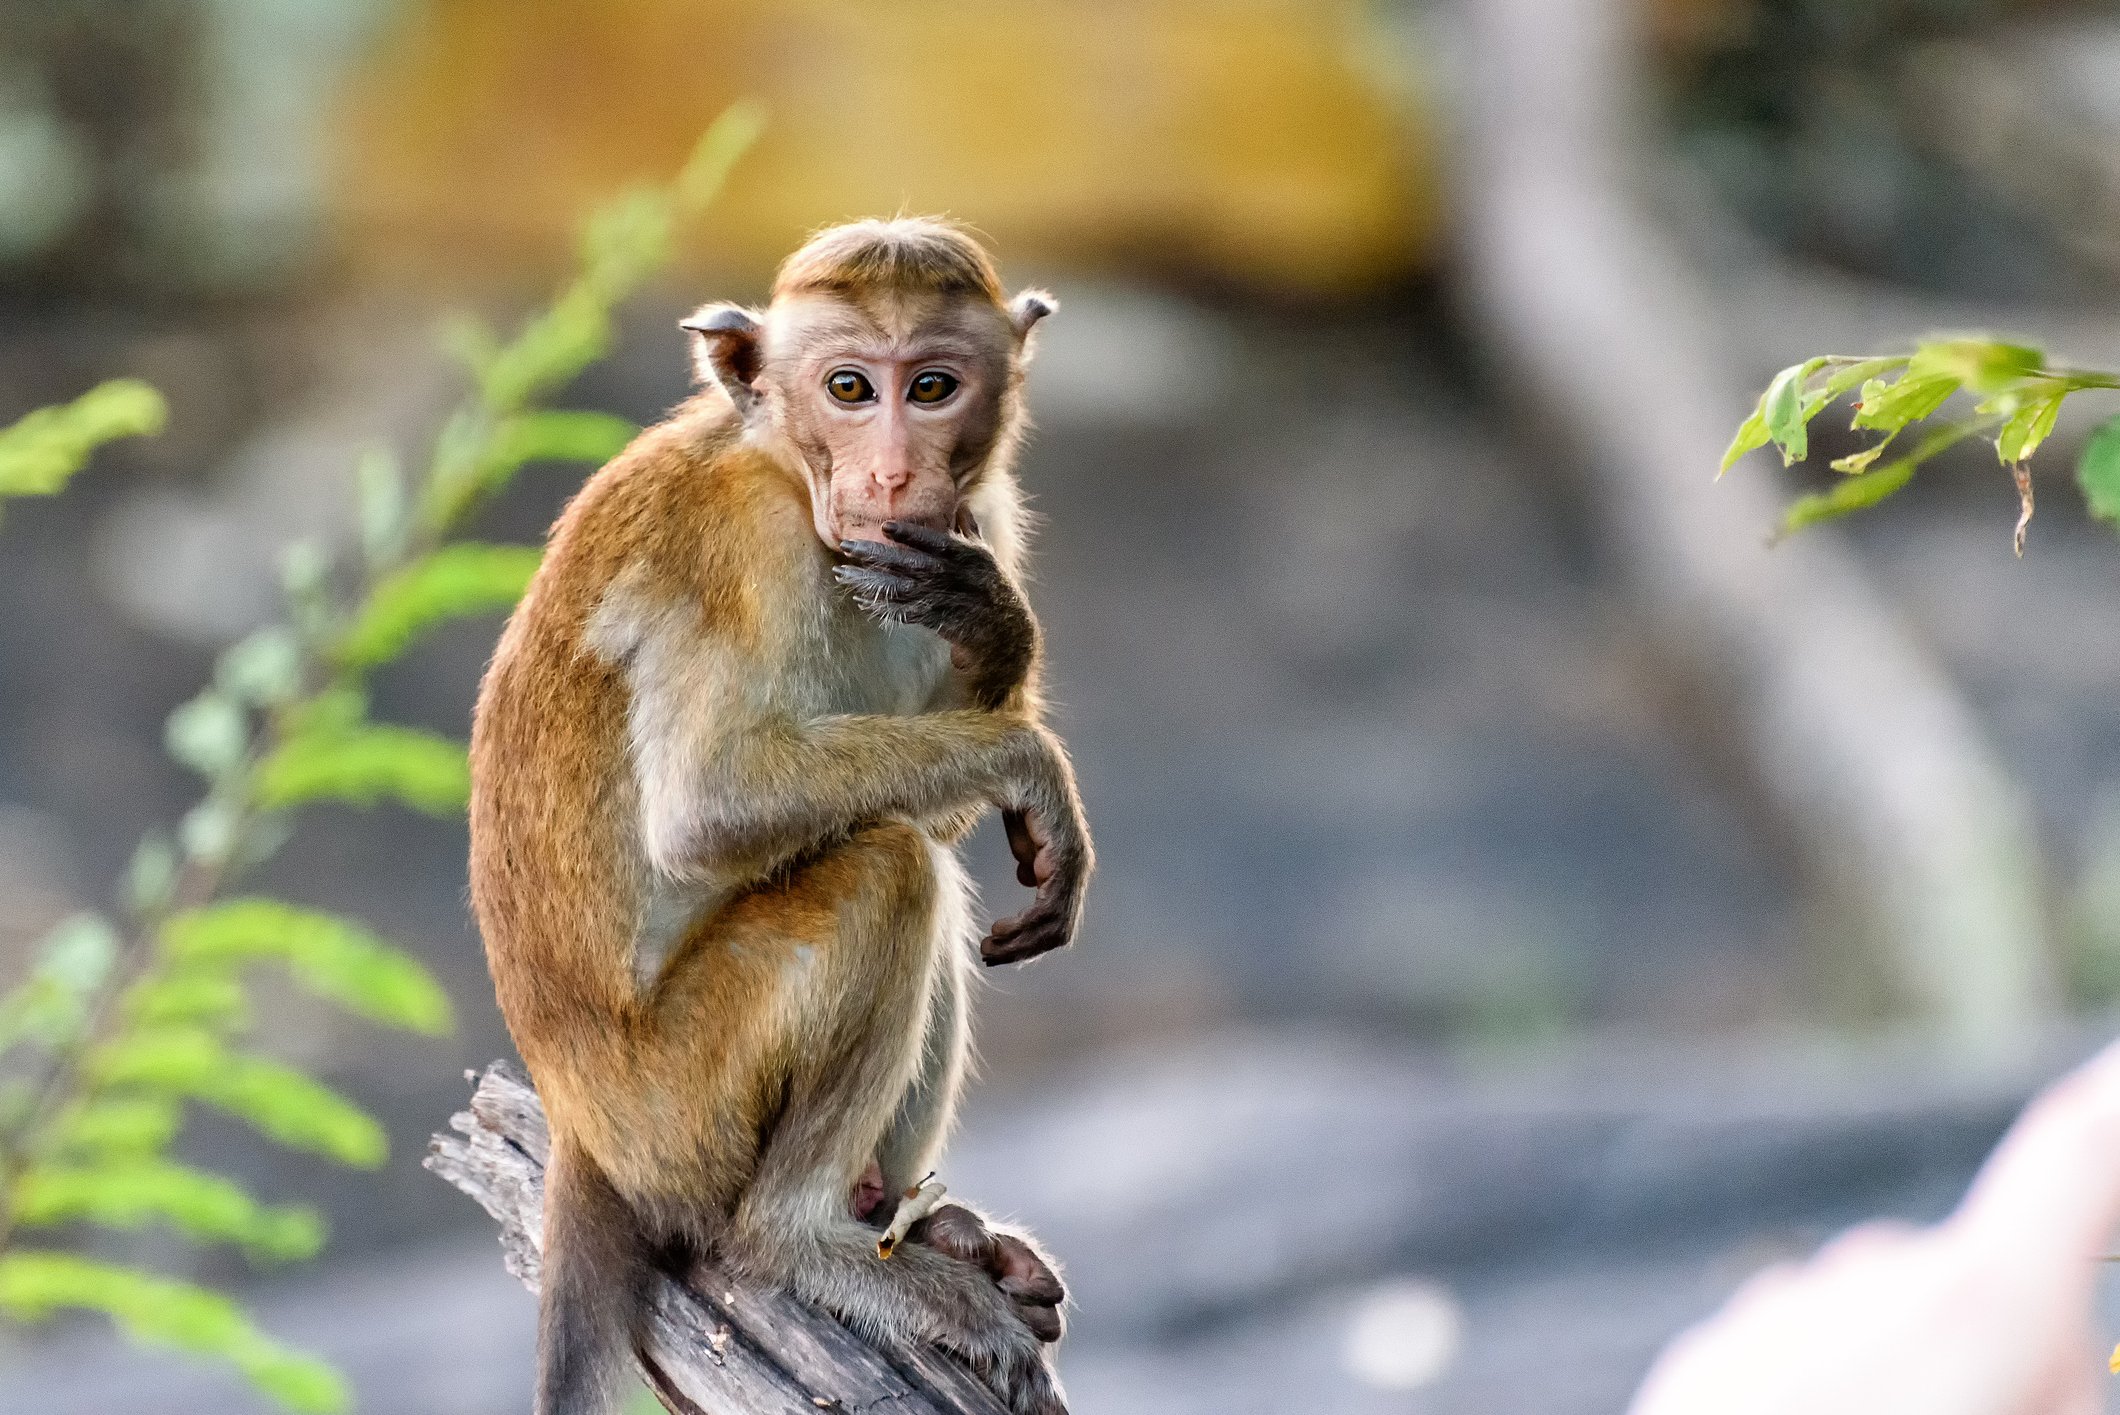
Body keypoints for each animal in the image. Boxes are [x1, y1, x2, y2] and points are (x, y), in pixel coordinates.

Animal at [468, 217, 1092, 1415]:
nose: (891, 470)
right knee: (887, 869)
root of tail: (580, 1131)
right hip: (681, 1108)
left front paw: (996, 627)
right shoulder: (744, 547)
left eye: (931, 386)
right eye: (848, 387)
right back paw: (802, 1243)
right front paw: (1032, 763)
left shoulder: (968, 522)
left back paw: (921, 1222)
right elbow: (711, 806)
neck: (786, 467)